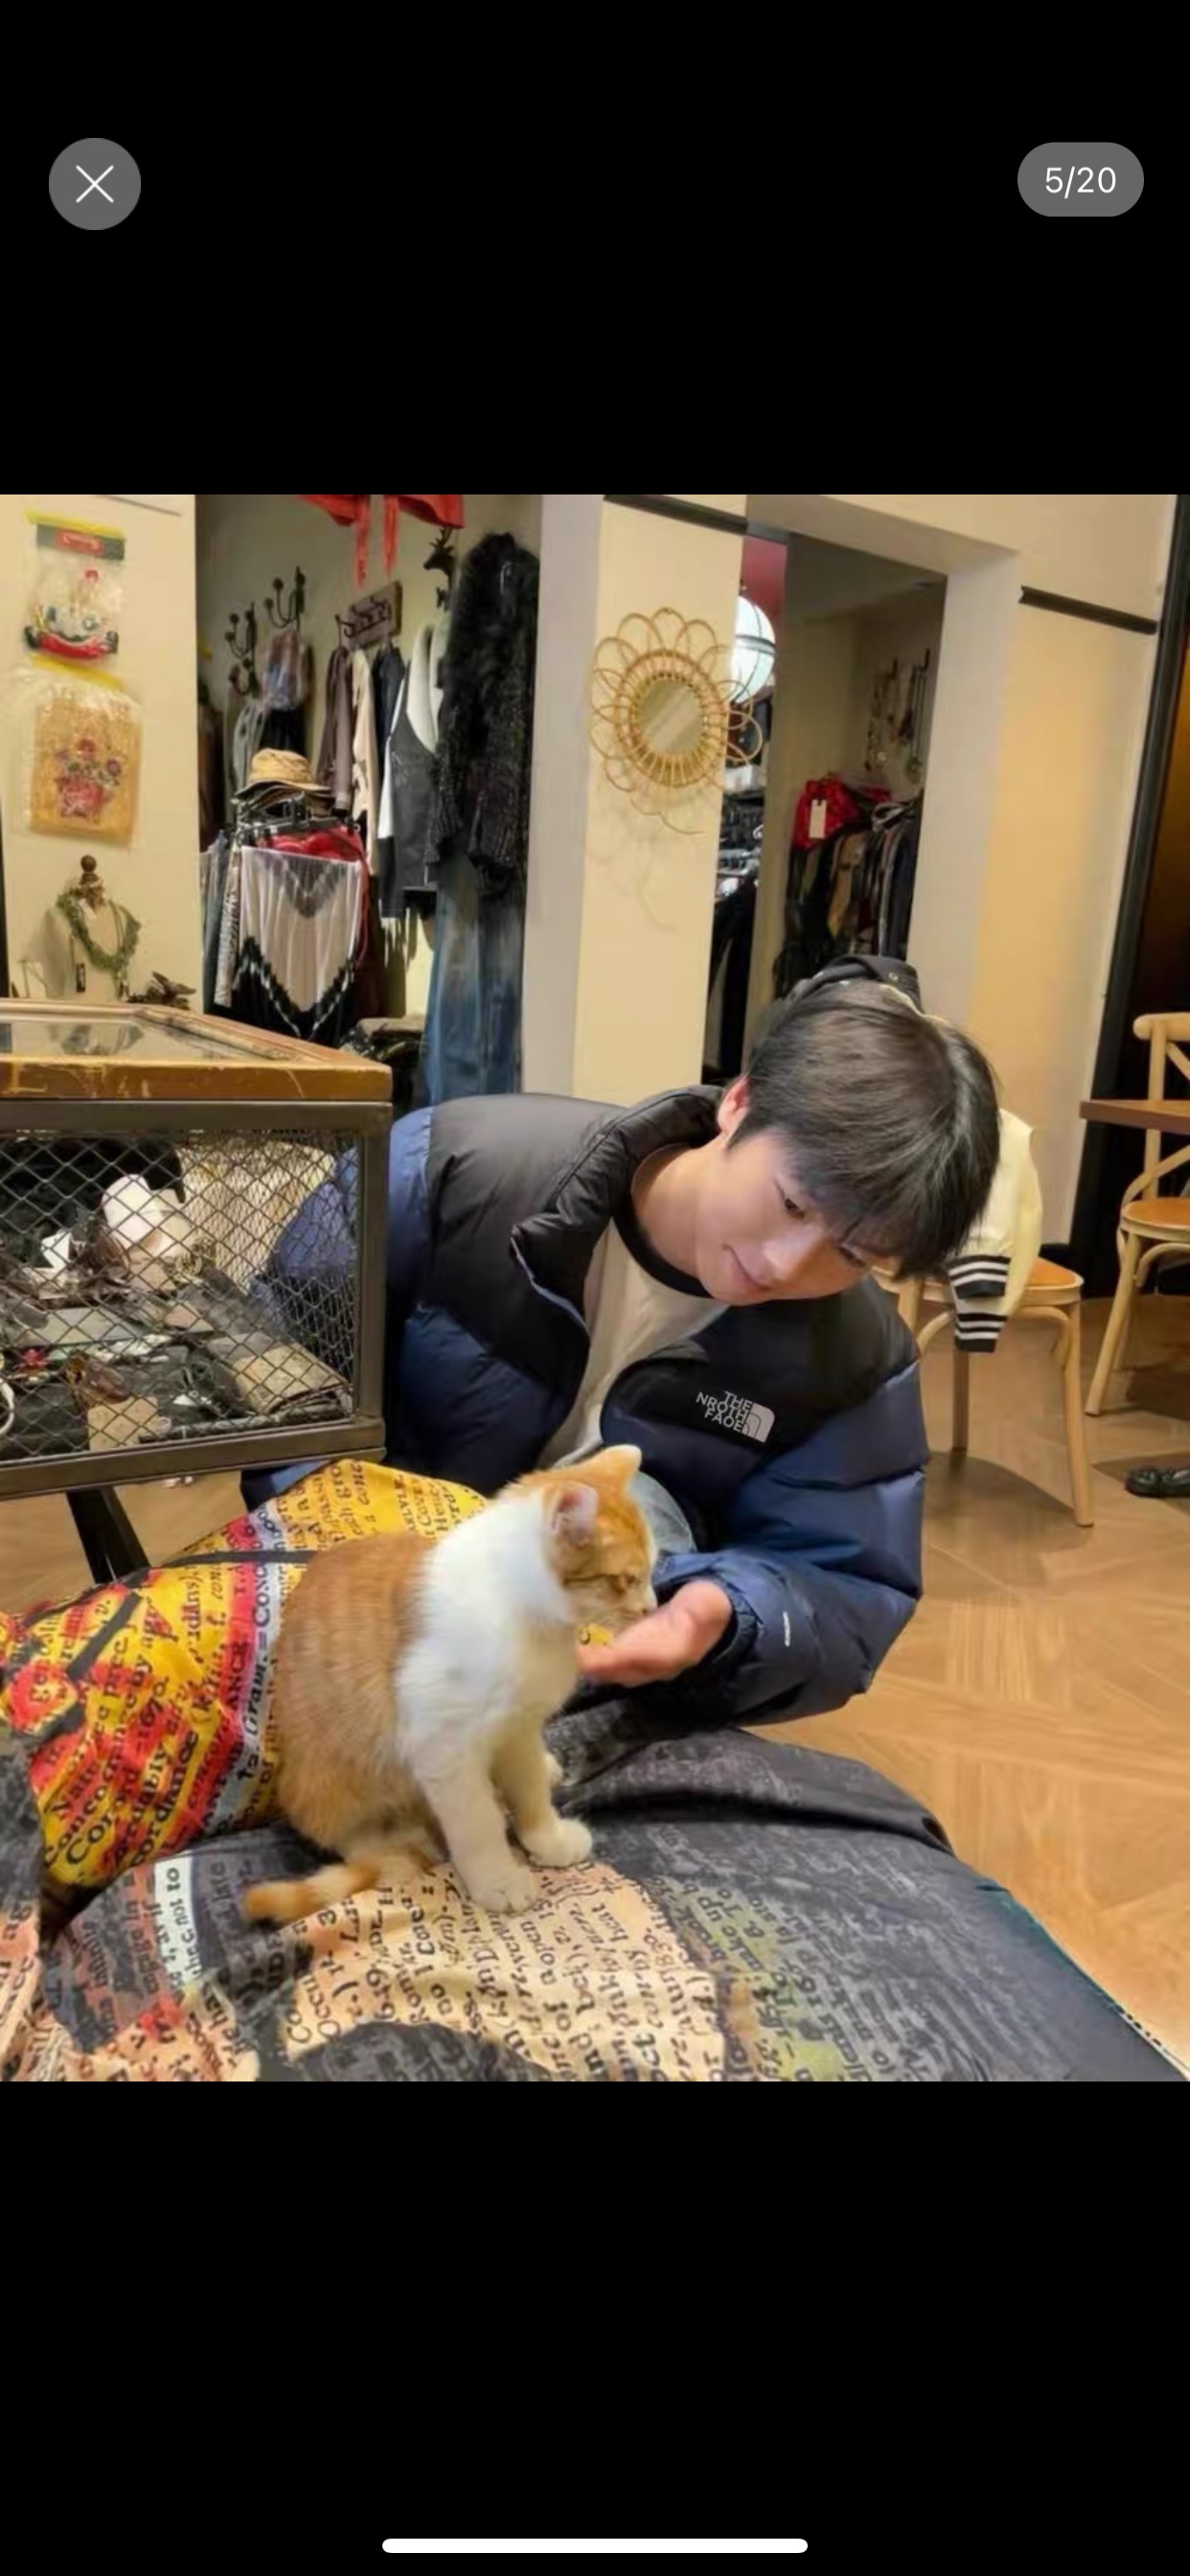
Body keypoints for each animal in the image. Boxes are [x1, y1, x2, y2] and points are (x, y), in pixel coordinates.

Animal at [242, 1444, 656, 1922]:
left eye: (651, 1571)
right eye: (626, 1579)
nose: (652, 1607)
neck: (519, 1611)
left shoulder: (518, 1728)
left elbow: (530, 1790)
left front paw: (547, 1838)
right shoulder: (444, 1747)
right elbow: (478, 1824)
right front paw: (497, 1880)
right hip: (338, 1783)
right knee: (356, 1840)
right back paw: (400, 1844)